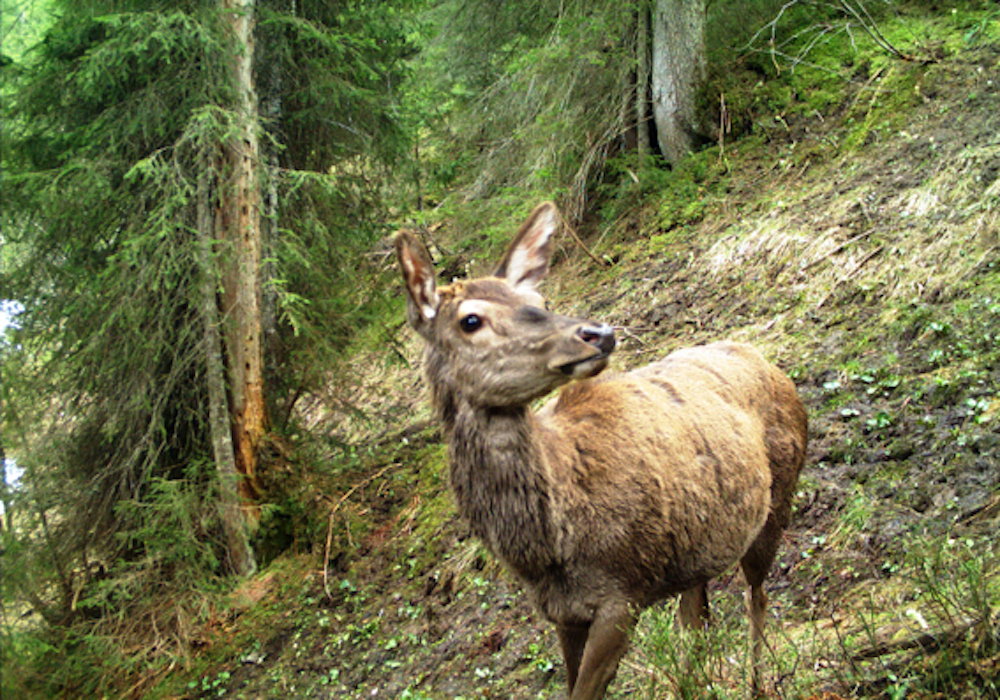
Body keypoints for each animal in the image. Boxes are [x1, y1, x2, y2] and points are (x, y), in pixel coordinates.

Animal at [394, 202, 808, 700]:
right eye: (470, 320)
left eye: (540, 302)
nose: (599, 333)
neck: (548, 550)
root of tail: (766, 360)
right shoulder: (562, 612)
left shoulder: (623, 594)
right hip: (699, 543)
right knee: (696, 617)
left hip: (777, 503)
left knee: (756, 596)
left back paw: (758, 683)